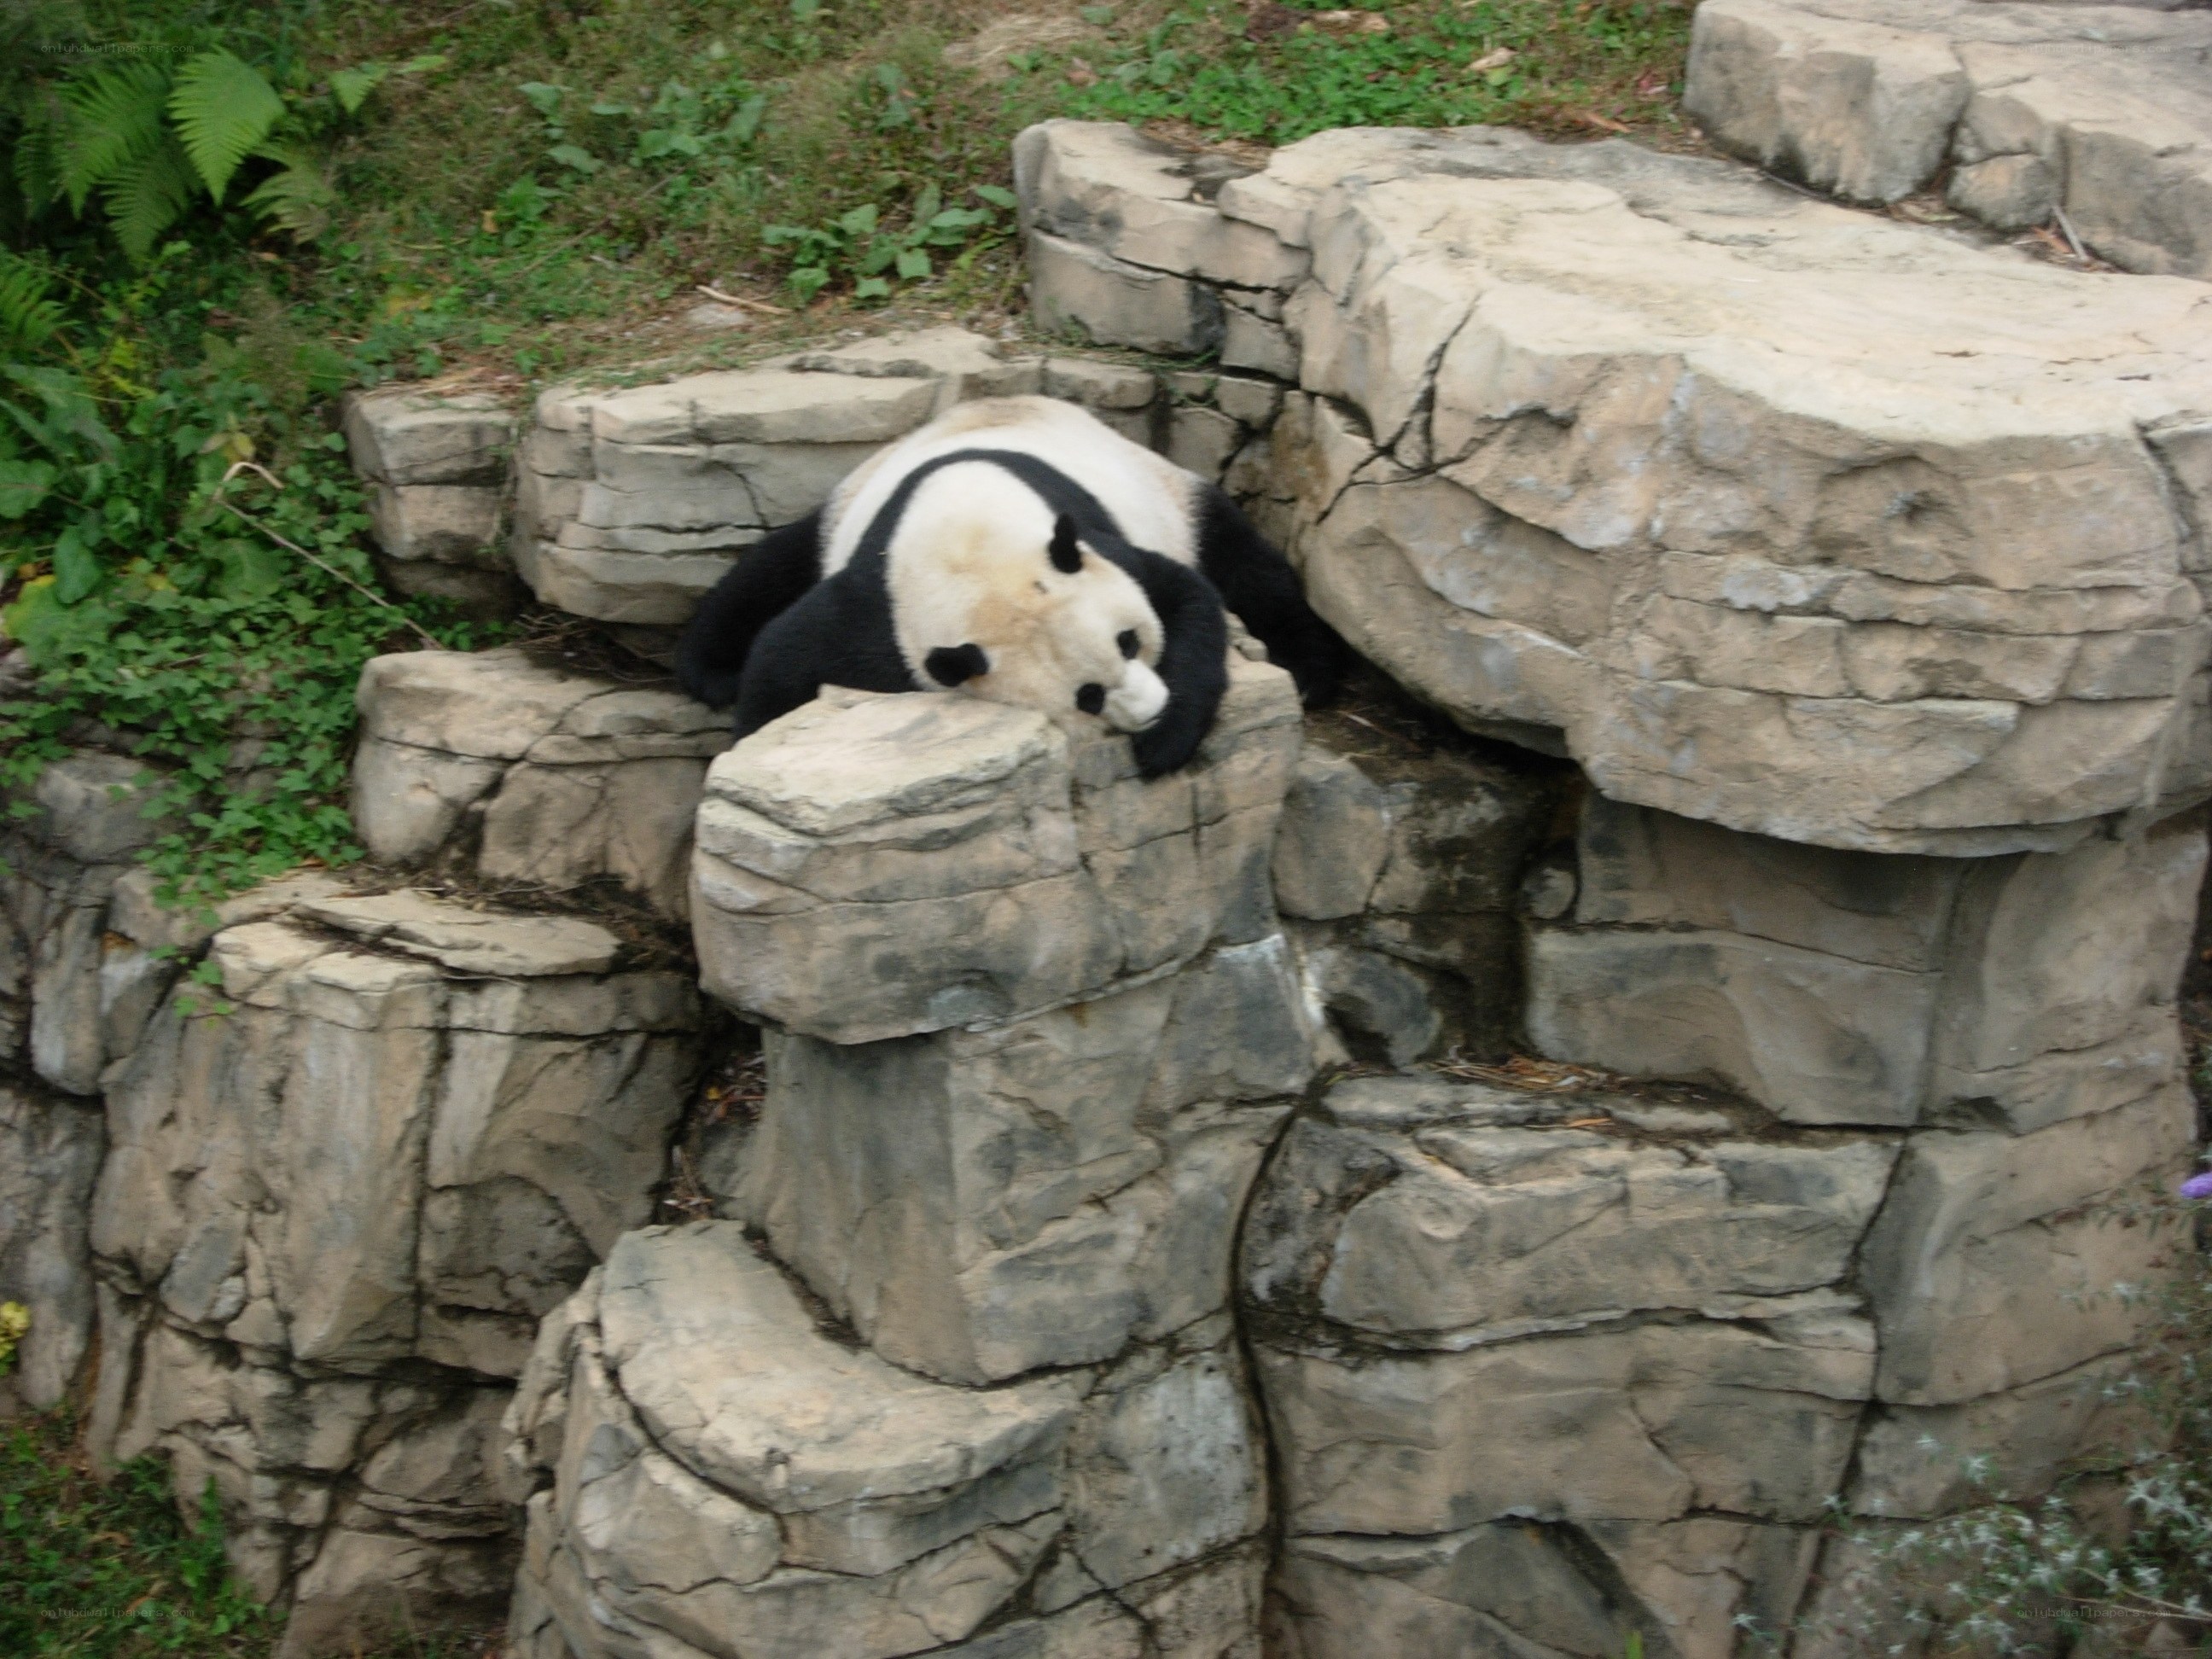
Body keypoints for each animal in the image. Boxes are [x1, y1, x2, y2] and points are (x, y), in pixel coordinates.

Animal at [674, 394, 1348, 776]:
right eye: (1086, 697)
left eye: (1129, 642)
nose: (1150, 709)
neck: (968, 552)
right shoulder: (881, 608)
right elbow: (784, 654)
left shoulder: (1090, 543)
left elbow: (1187, 598)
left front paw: (1165, 740)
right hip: (839, 509)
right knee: (769, 568)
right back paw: (711, 669)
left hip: (1169, 491)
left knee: (1244, 562)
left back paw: (1309, 672)